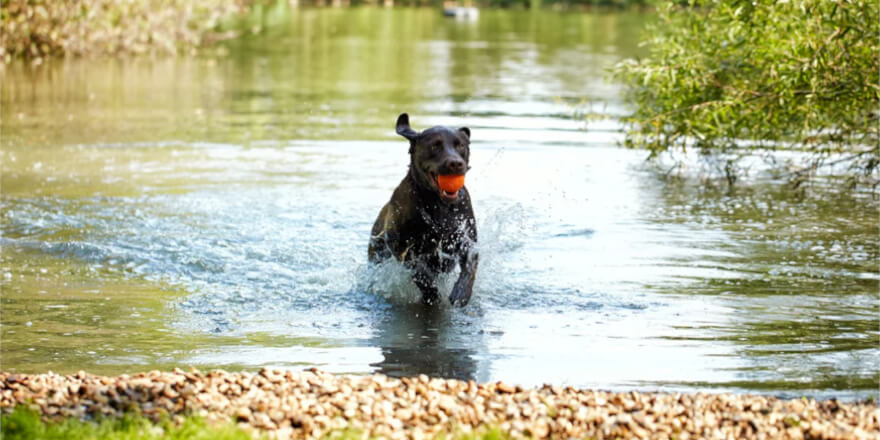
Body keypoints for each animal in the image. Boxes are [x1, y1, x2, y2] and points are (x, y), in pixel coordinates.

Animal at [368, 113, 478, 306]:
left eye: (460, 145)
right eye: (435, 145)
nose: (456, 163)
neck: (438, 205)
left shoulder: (466, 238)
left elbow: (471, 263)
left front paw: (461, 292)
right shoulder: (400, 246)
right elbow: (419, 272)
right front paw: (432, 294)